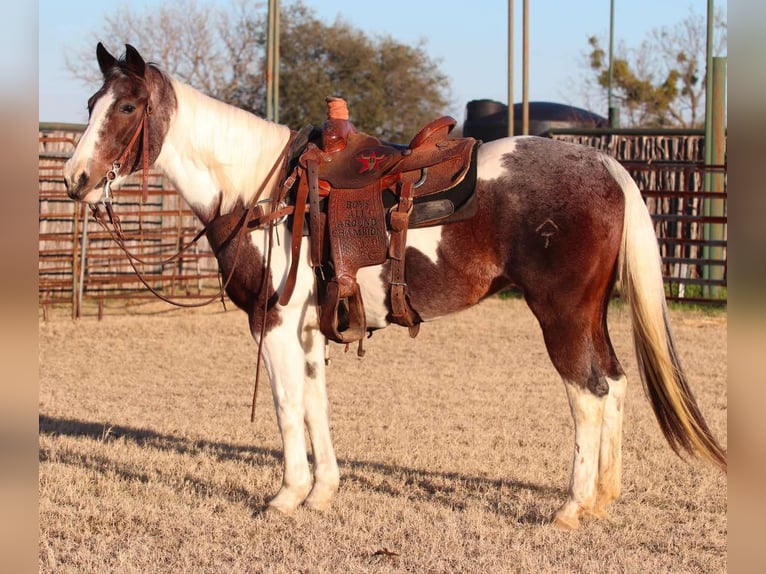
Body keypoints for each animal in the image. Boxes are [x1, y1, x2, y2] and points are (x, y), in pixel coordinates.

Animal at [64, 44, 728, 532]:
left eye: (126, 108)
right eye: (92, 101)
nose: (75, 179)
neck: (263, 192)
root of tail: (605, 164)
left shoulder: (271, 323)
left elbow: (285, 406)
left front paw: (286, 495)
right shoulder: (310, 328)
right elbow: (315, 402)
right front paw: (322, 493)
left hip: (560, 314)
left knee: (587, 393)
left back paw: (570, 507)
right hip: (590, 313)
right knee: (614, 384)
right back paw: (604, 498)